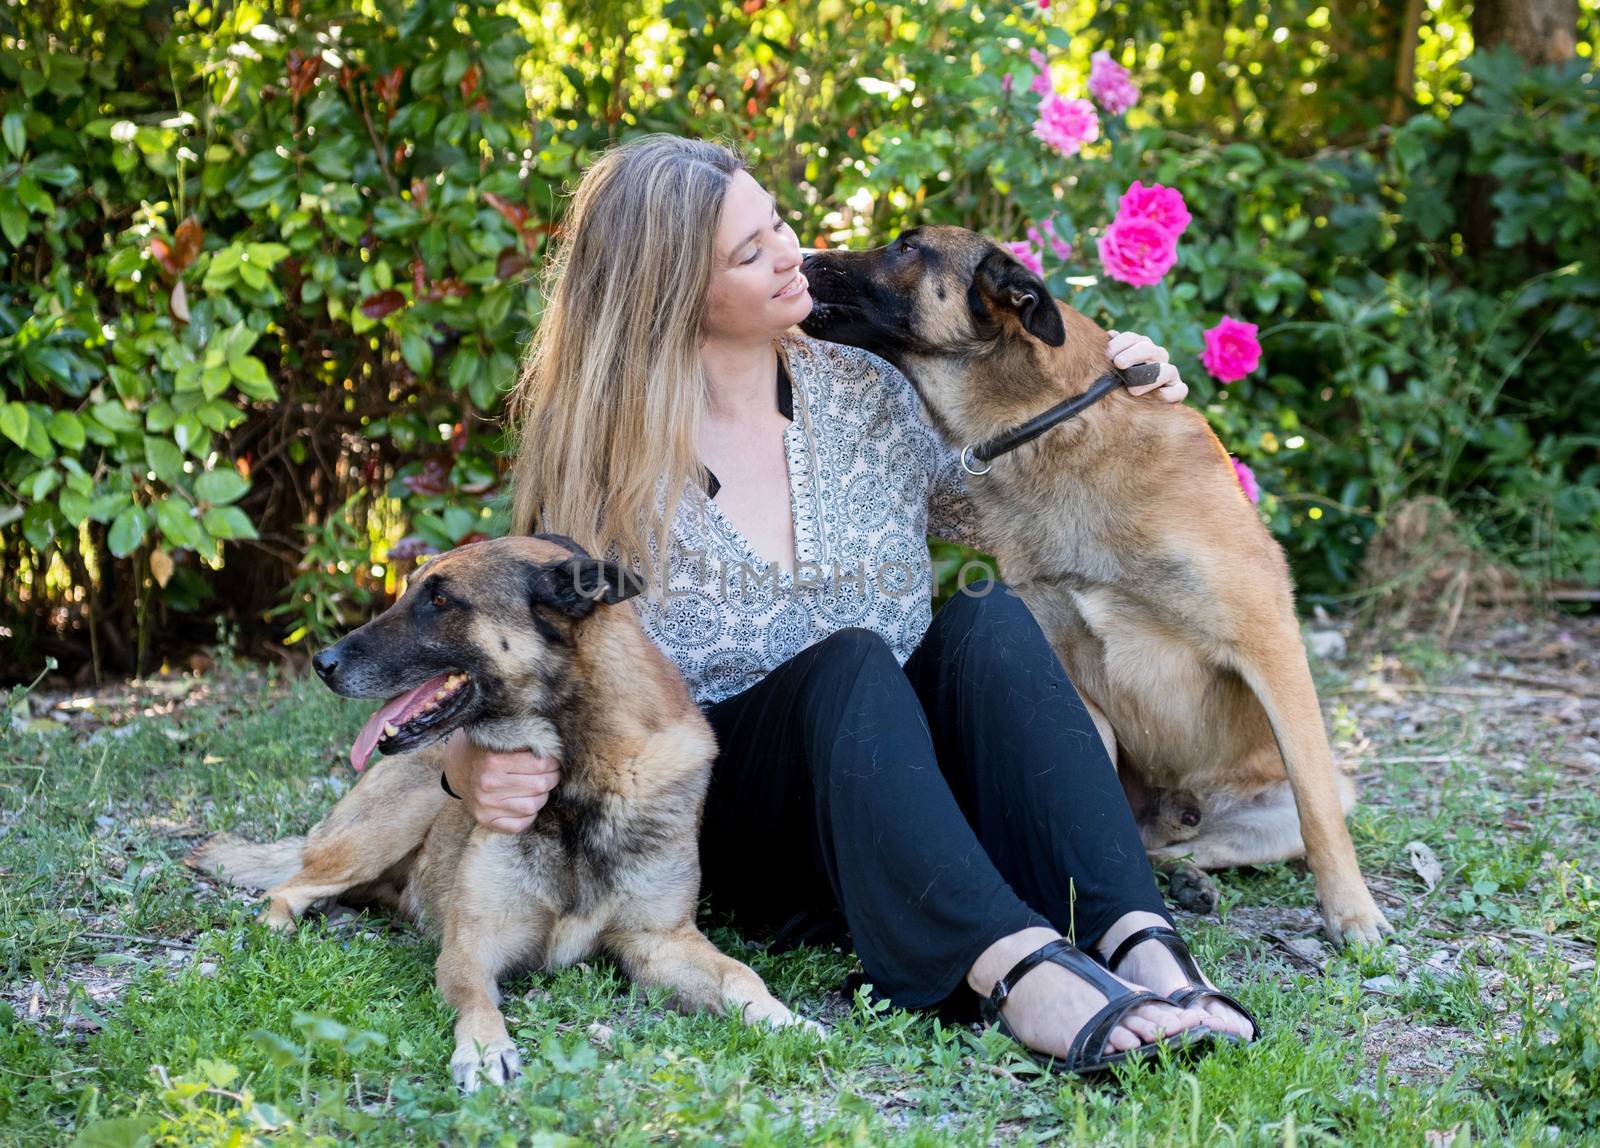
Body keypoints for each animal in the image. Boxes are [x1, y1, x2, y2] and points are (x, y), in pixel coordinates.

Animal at [187, 534, 812, 1093]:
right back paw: (278, 930)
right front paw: (485, 1050)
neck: (576, 780)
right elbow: (476, 999)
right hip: (388, 827)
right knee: (288, 887)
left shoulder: (661, 940)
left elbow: (739, 973)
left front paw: (785, 1017)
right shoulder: (471, 947)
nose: (322, 662)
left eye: (441, 600)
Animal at [806, 227, 1395, 946]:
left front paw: (1352, 913)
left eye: (906, 249)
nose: (804, 255)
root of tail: (1182, 804)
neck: (1050, 424)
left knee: (1234, 829)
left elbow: (1317, 811)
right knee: (1149, 842)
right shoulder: (1068, 669)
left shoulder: (1269, 641)